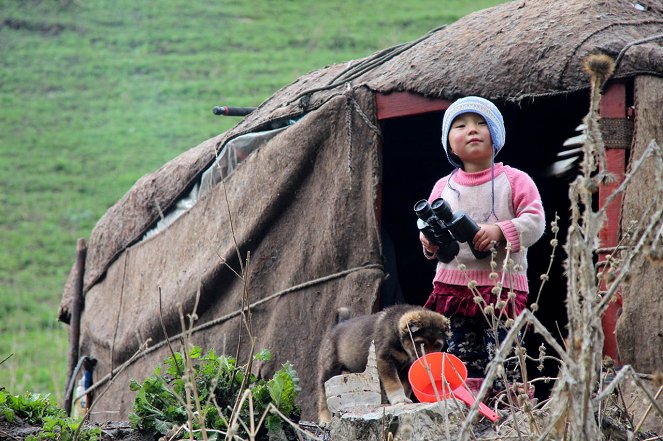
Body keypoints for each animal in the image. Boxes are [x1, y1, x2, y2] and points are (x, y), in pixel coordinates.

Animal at [316, 302, 452, 422]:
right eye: (420, 343)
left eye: (437, 345)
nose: (429, 362)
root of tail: (335, 327)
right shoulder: (385, 360)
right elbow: (394, 383)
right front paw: (399, 399)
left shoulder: (407, 368)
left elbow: (405, 386)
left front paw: (404, 400)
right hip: (330, 368)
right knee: (323, 396)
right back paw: (325, 419)